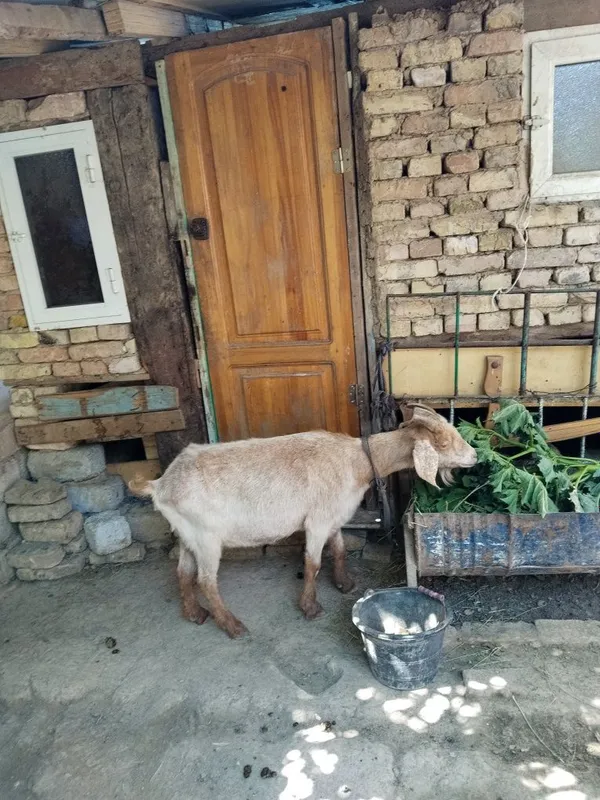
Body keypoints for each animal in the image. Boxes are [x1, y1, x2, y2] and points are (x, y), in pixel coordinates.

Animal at [131, 404, 477, 638]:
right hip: (206, 537)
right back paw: (232, 625)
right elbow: (313, 562)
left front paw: (345, 584)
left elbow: (338, 549)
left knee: (183, 572)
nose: (474, 456)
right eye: (443, 443)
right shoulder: (318, 521)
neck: (357, 461)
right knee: (205, 580)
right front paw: (310, 607)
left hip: (186, 534)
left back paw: (194, 613)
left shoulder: (334, 517)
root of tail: (160, 485)